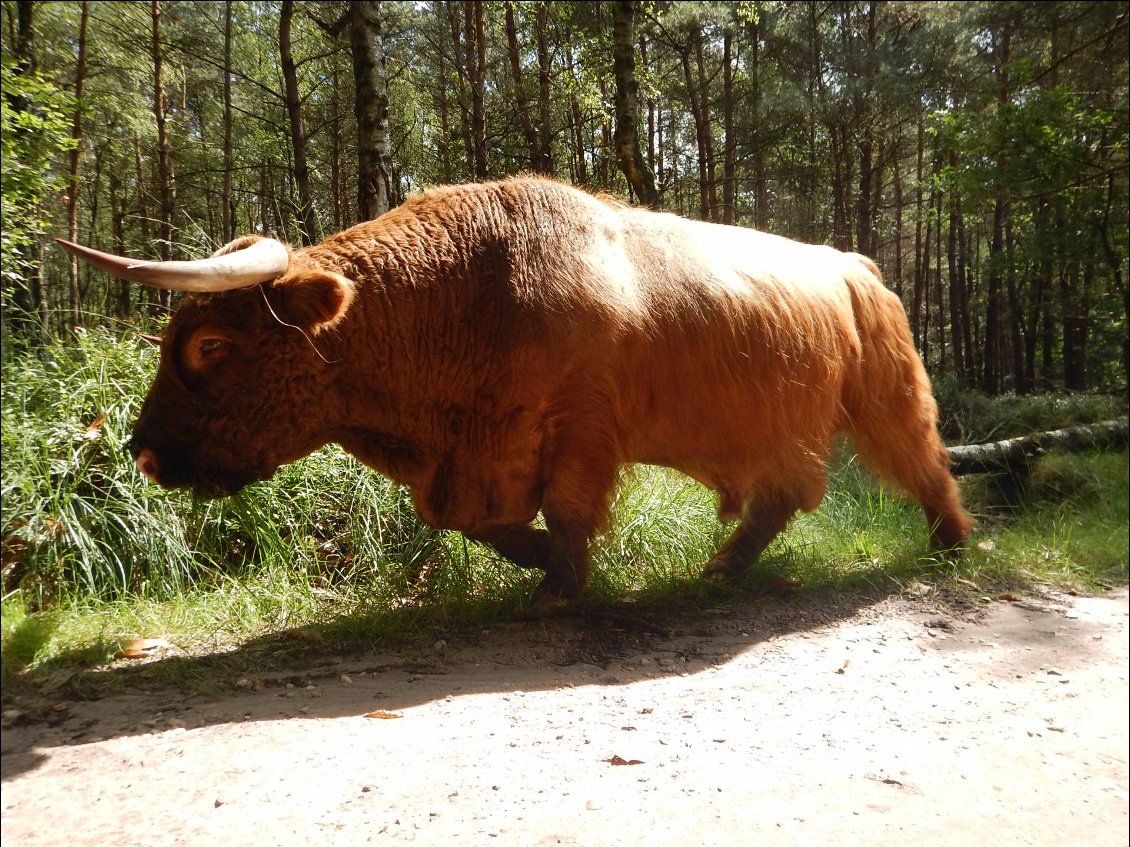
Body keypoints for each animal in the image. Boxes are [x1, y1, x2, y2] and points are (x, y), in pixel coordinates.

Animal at [59, 178, 971, 600]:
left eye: (210, 343)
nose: (144, 450)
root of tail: (851, 266)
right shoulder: (478, 459)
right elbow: (475, 521)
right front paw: (539, 564)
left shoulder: (579, 433)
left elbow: (560, 515)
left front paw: (560, 583)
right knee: (783, 497)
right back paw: (721, 567)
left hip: (886, 397)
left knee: (925, 463)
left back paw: (952, 543)